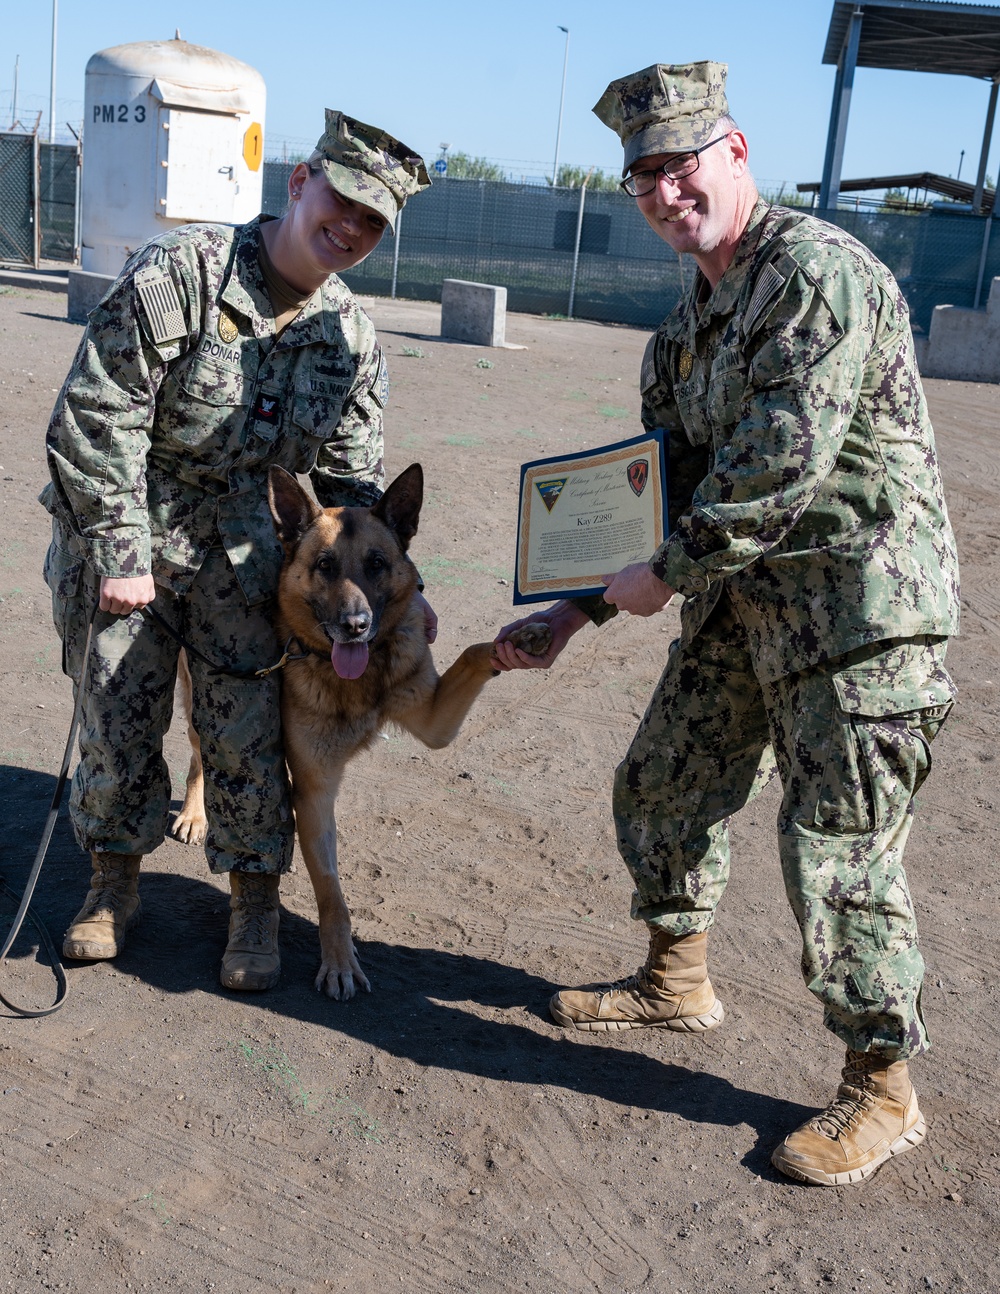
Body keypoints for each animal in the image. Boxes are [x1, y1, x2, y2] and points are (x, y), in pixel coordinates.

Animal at [169, 465, 545, 998]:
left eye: (377, 563)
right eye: (325, 565)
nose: (355, 625)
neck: (357, 680)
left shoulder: (436, 723)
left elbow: (476, 651)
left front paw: (523, 638)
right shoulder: (313, 793)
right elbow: (332, 893)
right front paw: (340, 961)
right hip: (207, 695)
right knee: (203, 751)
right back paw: (195, 813)